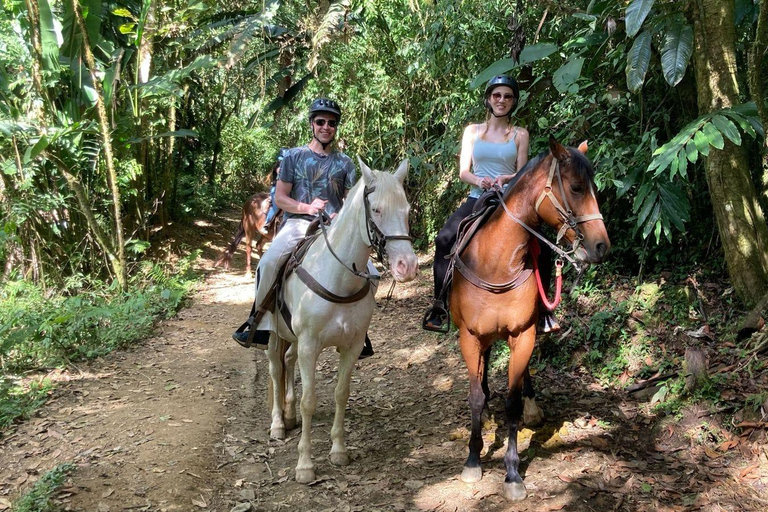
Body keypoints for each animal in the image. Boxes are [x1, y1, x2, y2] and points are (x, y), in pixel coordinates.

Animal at [265, 157, 419, 484]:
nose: (408, 266)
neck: (337, 278)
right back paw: (277, 424)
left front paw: (338, 450)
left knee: (288, 359)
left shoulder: (352, 345)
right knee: (275, 366)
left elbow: (341, 394)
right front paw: (305, 465)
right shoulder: (310, 345)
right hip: (273, 331)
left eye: (407, 210)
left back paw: (289, 415)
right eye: (377, 210)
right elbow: (309, 400)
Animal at [450, 136, 610, 501]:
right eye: (576, 187)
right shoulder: (469, 336)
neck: (496, 262)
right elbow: (475, 397)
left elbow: (512, 404)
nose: (601, 246)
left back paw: (532, 406)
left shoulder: (522, 334)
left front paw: (512, 474)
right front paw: (472, 460)